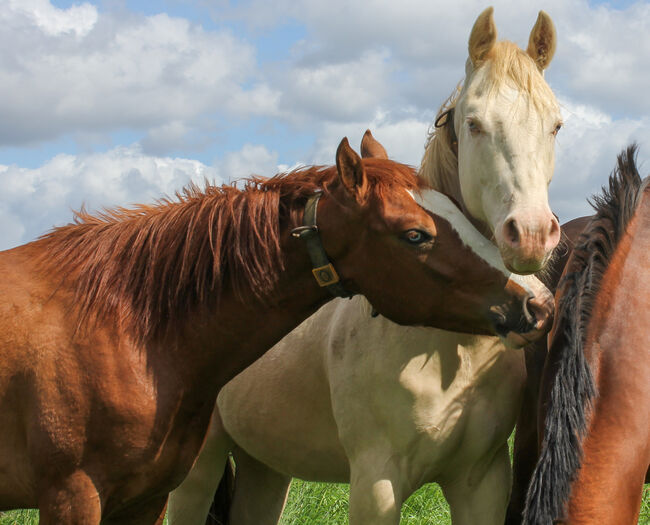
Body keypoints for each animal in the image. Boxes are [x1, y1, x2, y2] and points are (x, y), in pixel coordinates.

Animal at [0, 137, 552, 520]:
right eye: (415, 234)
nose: (539, 303)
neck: (129, 330)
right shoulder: (74, 497)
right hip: (200, 475)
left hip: (262, 469)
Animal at [167, 8, 560, 524]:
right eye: (474, 123)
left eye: (555, 125)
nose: (532, 234)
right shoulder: (376, 484)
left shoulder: (483, 481)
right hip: (200, 467)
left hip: (264, 467)